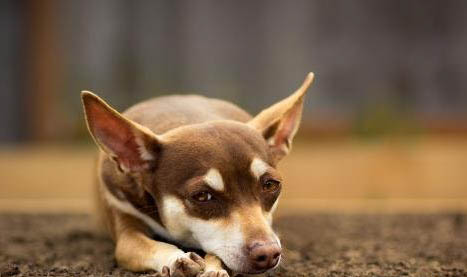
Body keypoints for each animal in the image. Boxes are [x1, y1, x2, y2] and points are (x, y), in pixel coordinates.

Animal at [81, 72, 314, 274]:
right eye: (202, 196)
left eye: (270, 185)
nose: (268, 253)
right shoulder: (124, 226)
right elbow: (144, 245)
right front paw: (176, 259)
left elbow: (218, 252)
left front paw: (213, 269)